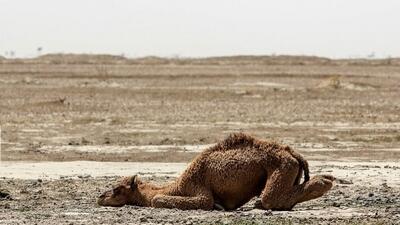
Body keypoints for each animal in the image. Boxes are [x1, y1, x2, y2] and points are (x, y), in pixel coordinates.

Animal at [97, 133, 334, 210]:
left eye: (116, 190)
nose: (100, 197)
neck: (177, 186)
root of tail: (293, 153)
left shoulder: (198, 188)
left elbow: (158, 200)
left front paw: (218, 206)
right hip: (289, 168)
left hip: (281, 166)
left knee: (270, 199)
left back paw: (326, 181)